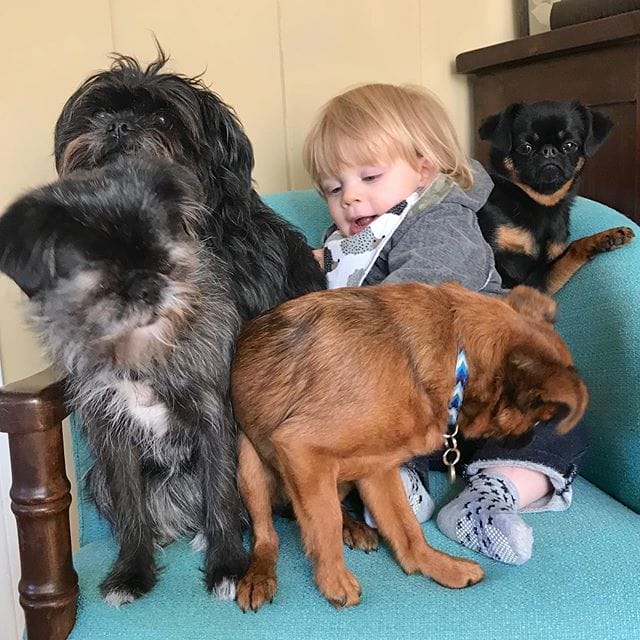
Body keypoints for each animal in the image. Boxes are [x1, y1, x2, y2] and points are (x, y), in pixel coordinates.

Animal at [0, 158, 249, 604]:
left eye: (164, 257)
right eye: (99, 277)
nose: (148, 285)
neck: (139, 357)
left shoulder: (213, 420)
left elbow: (220, 493)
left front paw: (228, 566)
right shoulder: (113, 440)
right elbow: (131, 511)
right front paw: (131, 571)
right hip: (96, 479)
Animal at [230, 282, 588, 610]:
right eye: (542, 418)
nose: (527, 442)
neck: (458, 359)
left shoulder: (377, 468)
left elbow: (406, 529)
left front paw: (437, 565)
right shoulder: (301, 448)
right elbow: (324, 522)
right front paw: (333, 580)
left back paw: (355, 527)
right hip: (249, 464)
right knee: (267, 534)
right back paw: (260, 575)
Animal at [477, 100, 634, 294]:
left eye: (570, 146)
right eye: (525, 147)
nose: (549, 150)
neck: (539, 203)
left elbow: (566, 255)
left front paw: (607, 237)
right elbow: (572, 248)